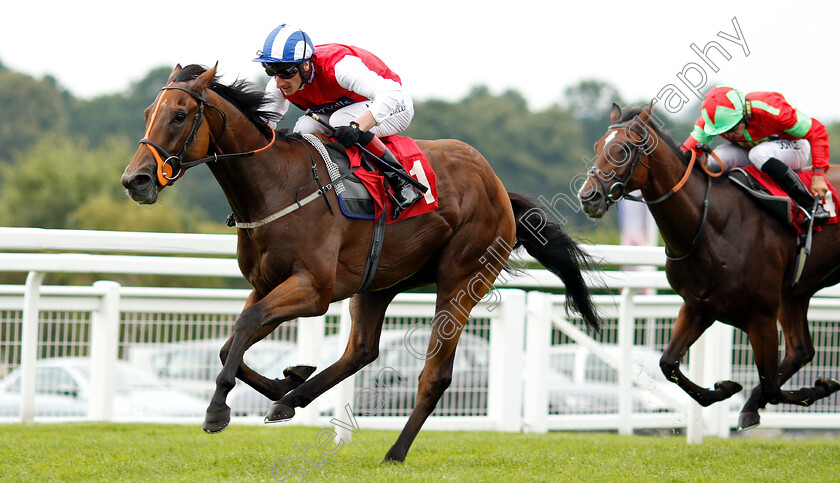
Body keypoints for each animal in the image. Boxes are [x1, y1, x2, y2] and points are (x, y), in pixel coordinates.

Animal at [121, 63, 600, 462]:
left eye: (179, 115)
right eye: (146, 112)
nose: (135, 180)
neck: (277, 185)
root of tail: (497, 185)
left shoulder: (312, 290)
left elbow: (244, 326)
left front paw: (218, 410)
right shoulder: (267, 283)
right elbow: (229, 343)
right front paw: (286, 381)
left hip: (462, 279)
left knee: (434, 376)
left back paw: (395, 452)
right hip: (378, 284)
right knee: (361, 351)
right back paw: (291, 399)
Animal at [580, 105, 840, 432]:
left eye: (623, 149)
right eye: (596, 147)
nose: (588, 197)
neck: (709, 227)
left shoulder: (762, 316)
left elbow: (772, 386)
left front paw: (821, 387)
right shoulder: (698, 306)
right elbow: (668, 364)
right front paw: (725, 389)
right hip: (796, 294)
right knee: (801, 351)